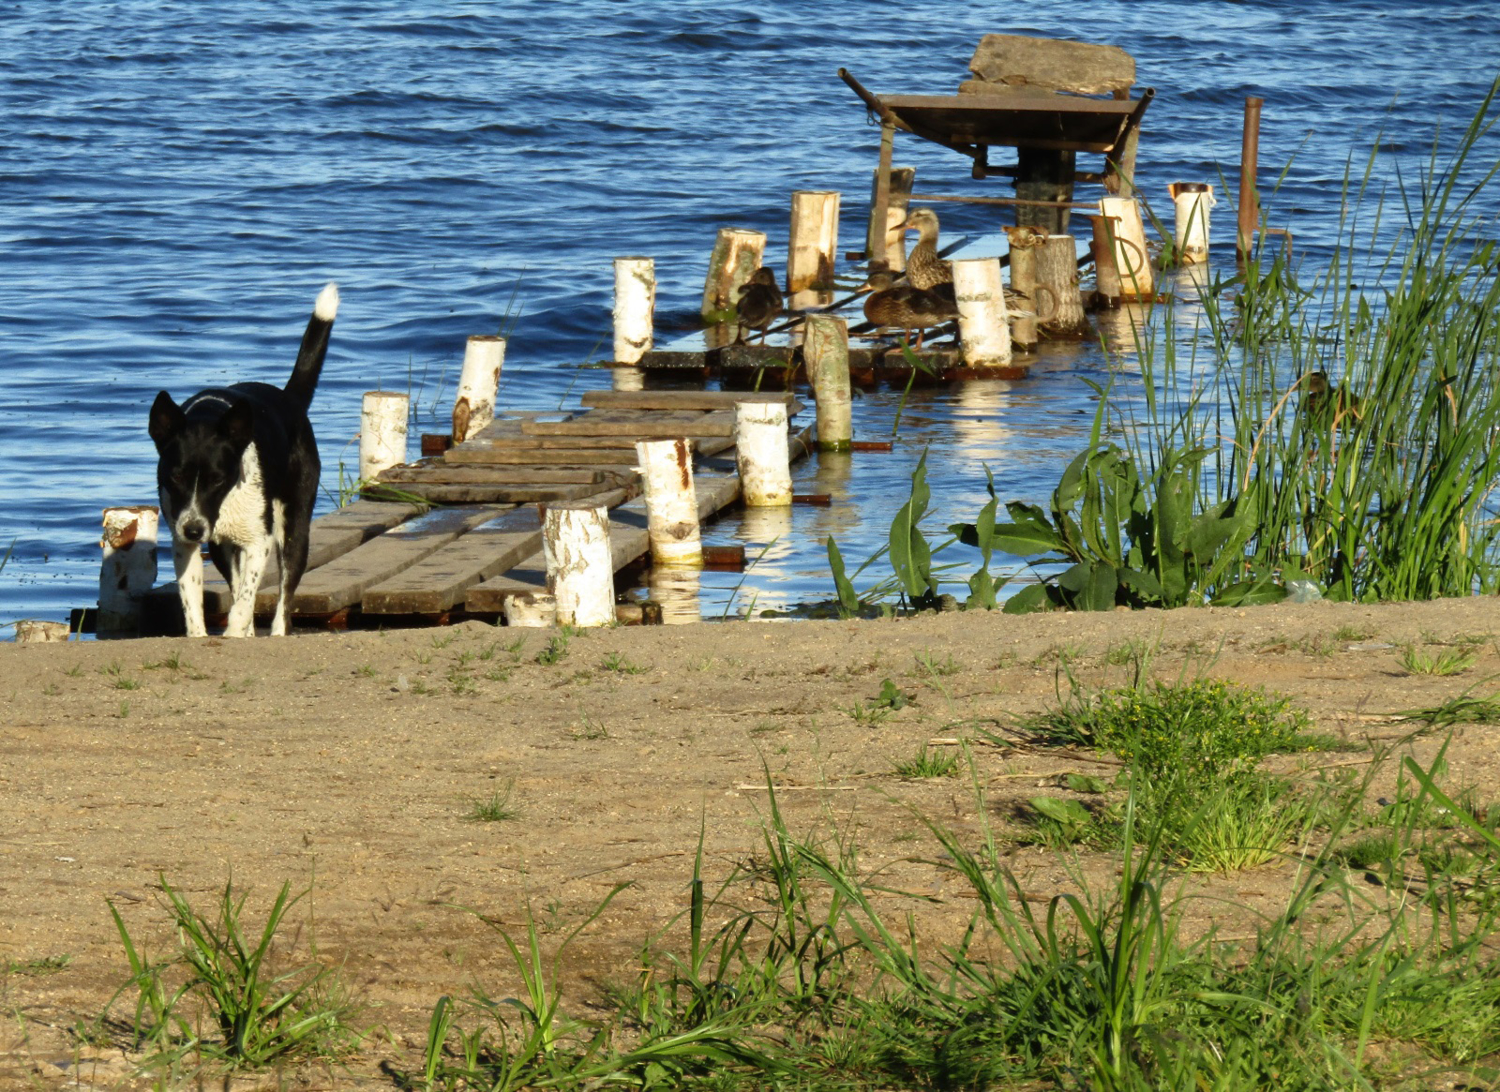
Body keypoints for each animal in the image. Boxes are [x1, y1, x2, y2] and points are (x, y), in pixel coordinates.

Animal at [147, 283, 339, 639]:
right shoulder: (186, 544)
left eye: (218, 479)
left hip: (294, 529)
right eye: (176, 477)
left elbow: (245, 600)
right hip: (220, 548)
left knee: (283, 599)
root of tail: (289, 400)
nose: (194, 529)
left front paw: (236, 630)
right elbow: (193, 602)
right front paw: (205, 635)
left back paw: (273, 632)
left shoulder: (258, 542)